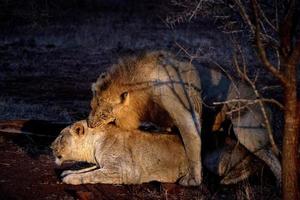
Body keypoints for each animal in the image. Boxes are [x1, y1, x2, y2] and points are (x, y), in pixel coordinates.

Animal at [51, 120, 258, 184]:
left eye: (60, 136)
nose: (50, 147)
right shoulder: (102, 164)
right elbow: (86, 169)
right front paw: (68, 172)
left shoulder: (124, 171)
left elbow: (92, 175)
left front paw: (70, 179)